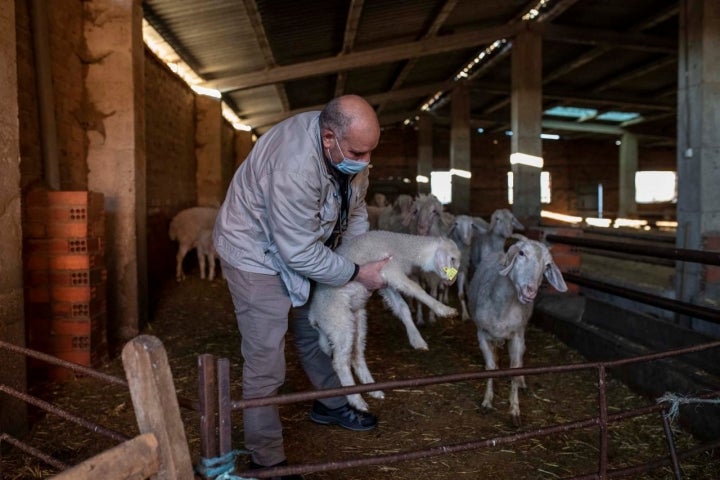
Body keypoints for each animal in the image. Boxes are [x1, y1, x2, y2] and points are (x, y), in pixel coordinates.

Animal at [306, 231, 458, 410]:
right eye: (453, 258)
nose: (451, 282)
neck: (404, 247)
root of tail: (314, 315)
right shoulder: (390, 269)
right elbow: (416, 290)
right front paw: (444, 310)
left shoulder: (384, 282)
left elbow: (402, 307)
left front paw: (416, 339)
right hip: (339, 321)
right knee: (340, 363)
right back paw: (357, 400)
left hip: (357, 320)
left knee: (356, 356)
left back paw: (374, 390)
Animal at [466, 234, 568, 426]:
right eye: (521, 253)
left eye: (547, 265)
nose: (530, 291)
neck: (503, 305)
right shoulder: (481, 335)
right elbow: (490, 367)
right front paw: (487, 402)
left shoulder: (516, 336)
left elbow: (514, 369)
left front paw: (514, 411)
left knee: (520, 357)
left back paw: (521, 382)